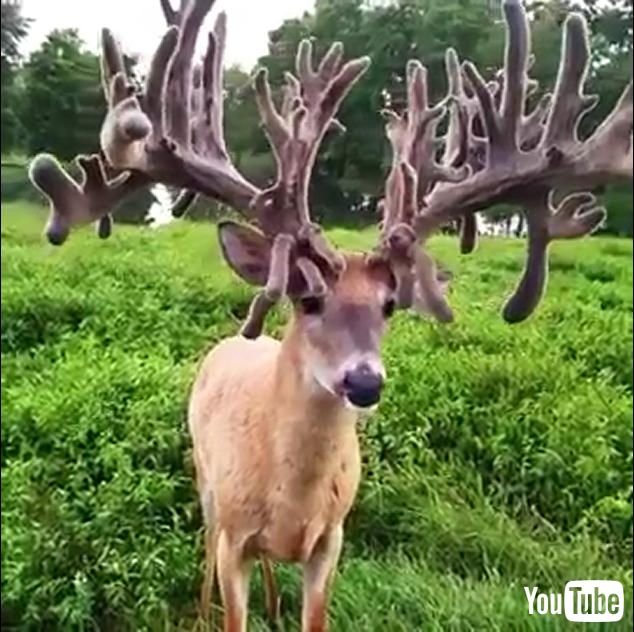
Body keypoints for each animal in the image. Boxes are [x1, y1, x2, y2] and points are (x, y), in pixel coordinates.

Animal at [27, 1, 628, 632]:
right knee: (204, 551)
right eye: (308, 298)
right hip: (204, 482)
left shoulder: (332, 539)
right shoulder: (234, 537)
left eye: (389, 305)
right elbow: (231, 606)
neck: (290, 502)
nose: (364, 381)